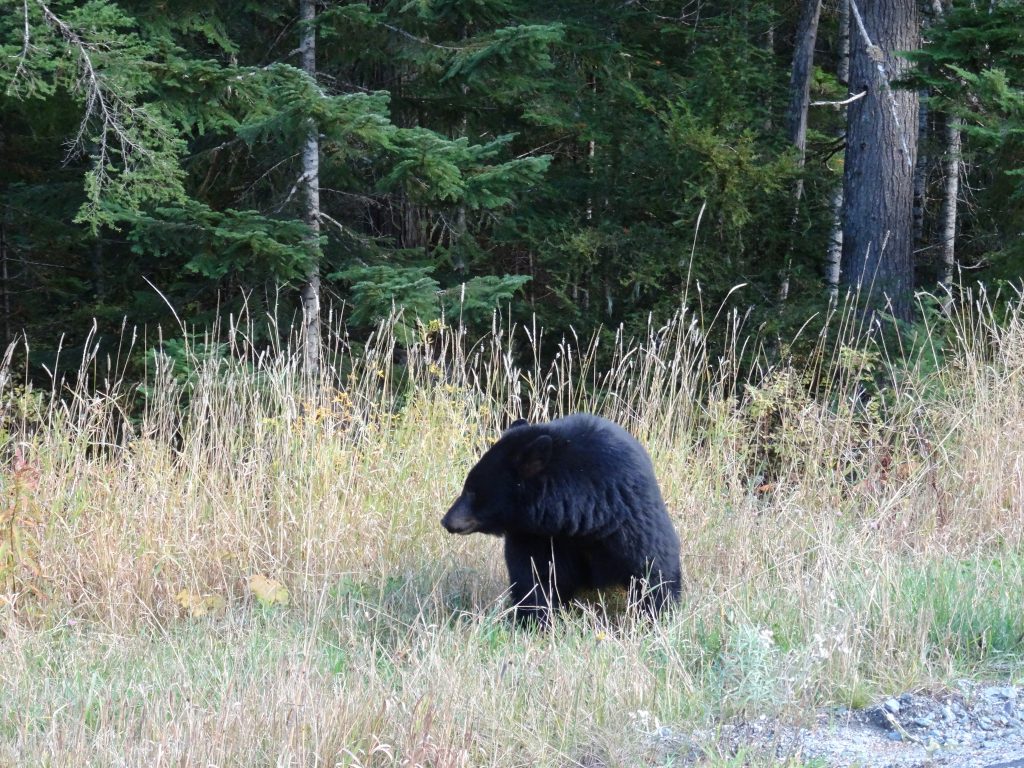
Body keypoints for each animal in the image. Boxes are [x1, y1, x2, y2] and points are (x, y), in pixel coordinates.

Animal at [442, 415, 675, 626]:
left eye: (472, 490)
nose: (446, 521)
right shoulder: (537, 536)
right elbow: (536, 576)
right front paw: (536, 621)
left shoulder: (625, 516)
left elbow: (652, 568)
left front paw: (655, 618)